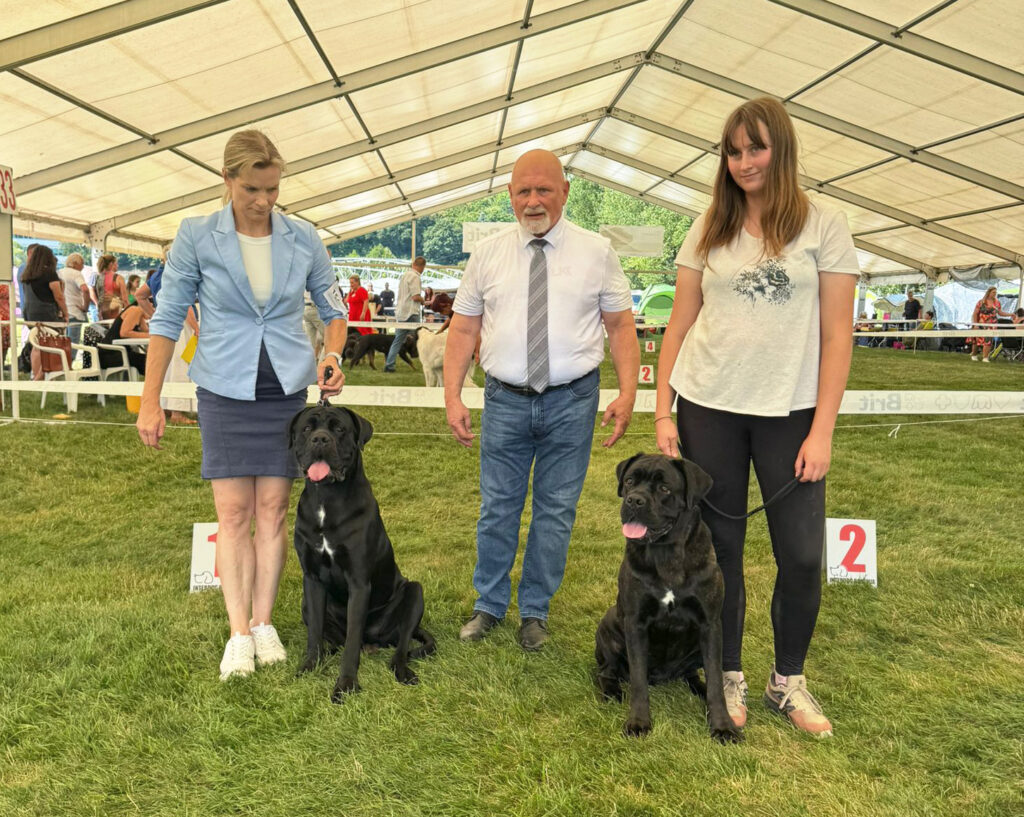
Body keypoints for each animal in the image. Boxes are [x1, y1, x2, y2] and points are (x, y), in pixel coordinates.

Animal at [289, 404, 436, 702]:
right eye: (307, 428)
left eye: (339, 429)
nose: (320, 440)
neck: (326, 499)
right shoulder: (312, 579)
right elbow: (314, 636)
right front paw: (309, 667)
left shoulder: (358, 582)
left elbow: (352, 641)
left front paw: (345, 685)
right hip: (305, 603)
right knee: (330, 638)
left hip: (414, 592)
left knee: (400, 647)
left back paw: (403, 671)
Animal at [595, 453, 742, 743]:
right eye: (630, 481)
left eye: (664, 488)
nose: (634, 500)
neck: (666, 552)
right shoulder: (635, 622)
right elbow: (638, 680)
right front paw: (638, 722)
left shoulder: (710, 624)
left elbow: (716, 682)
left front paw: (722, 725)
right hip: (609, 627)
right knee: (606, 671)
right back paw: (612, 692)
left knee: (694, 673)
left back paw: (699, 689)